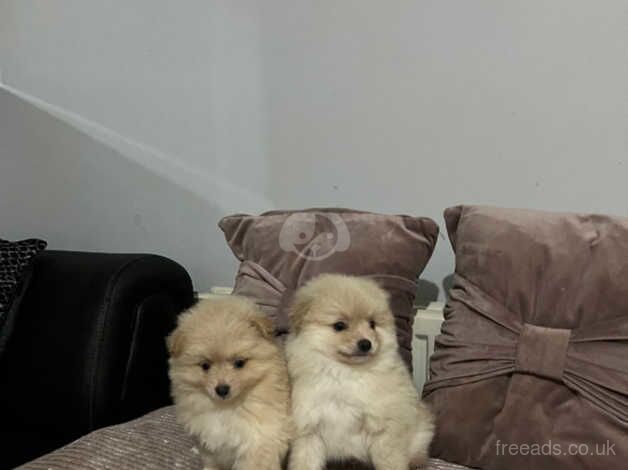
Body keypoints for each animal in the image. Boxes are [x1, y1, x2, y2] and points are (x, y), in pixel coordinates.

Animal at [167, 298, 294, 470]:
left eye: (239, 363)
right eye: (205, 366)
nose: (222, 389)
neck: (225, 409)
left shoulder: (258, 442)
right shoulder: (209, 446)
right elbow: (211, 463)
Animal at [284, 274, 432, 468]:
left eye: (372, 324)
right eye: (339, 325)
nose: (366, 343)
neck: (345, 373)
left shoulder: (383, 428)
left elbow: (390, 461)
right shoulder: (309, 430)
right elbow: (305, 462)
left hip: (420, 430)